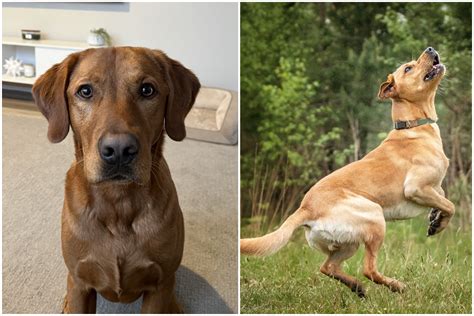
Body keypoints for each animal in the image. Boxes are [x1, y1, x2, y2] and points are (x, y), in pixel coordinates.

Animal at [31, 47, 198, 314]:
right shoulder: (80, 282)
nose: (119, 150)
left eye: (147, 89)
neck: (117, 203)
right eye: (85, 91)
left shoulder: (159, 286)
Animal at [241, 47, 452, 296]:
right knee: (368, 269)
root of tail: (306, 209)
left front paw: (435, 219)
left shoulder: (433, 188)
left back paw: (357, 288)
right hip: (374, 217)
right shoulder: (416, 188)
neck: (414, 126)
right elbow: (450, 205)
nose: (430, 49)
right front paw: (440, 222)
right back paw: (395, 286)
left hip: (347, 244)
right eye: (408, 68)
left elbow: (443, 199)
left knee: (328, 267)